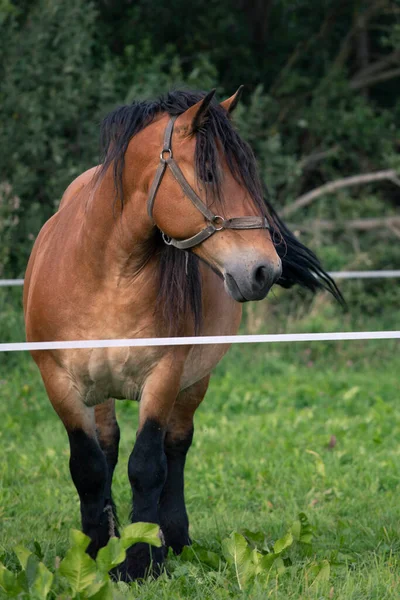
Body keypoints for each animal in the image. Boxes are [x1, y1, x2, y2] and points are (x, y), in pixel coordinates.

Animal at [23, 86, 342, 580]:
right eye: (209, 172)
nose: (263, 270)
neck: (106, 276)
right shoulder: (59, 382)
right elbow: (89, 467)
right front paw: (95, 555)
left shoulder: (164, 376)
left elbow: (148, 465)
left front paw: (141, 559)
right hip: (101, 390)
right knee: (108, 448)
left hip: (195, 381)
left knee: (176, 446)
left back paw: (174, 538)